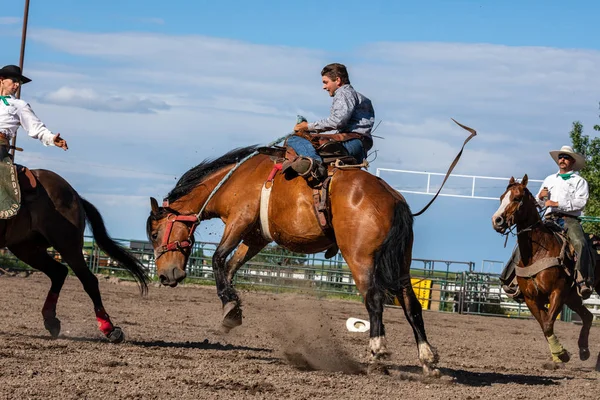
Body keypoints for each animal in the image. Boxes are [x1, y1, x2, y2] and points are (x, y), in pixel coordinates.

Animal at [1, 168, 149, 340]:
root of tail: (75, 195)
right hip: (26, 247)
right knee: (59, 272)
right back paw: (51, 321)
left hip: (67, 245)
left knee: (89, 281)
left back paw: (109, 329)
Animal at [144, 124, 474, 376]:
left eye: (155, 233)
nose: (166, 276)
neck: (233, 181)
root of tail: (394, 199)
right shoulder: (256, 236)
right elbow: (231, 265)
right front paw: (233, 309)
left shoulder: (240, 220)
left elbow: (216, 259)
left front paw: (229, 309)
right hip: (401, 261)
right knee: (411, 305)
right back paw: (428, 361)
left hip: (360, 258)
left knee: (374, 300)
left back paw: (377, 355)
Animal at [492, 173, 600, 368]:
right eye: (501, 197)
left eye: (517, 198)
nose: (496, 220)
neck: (538, 252)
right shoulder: (531, 299)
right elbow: (544, 326)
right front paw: (558, 355)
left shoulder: (557, 292)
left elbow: (549, 323)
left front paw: (562, 354)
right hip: (572, 297)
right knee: (588, 317)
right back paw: (584, 351)